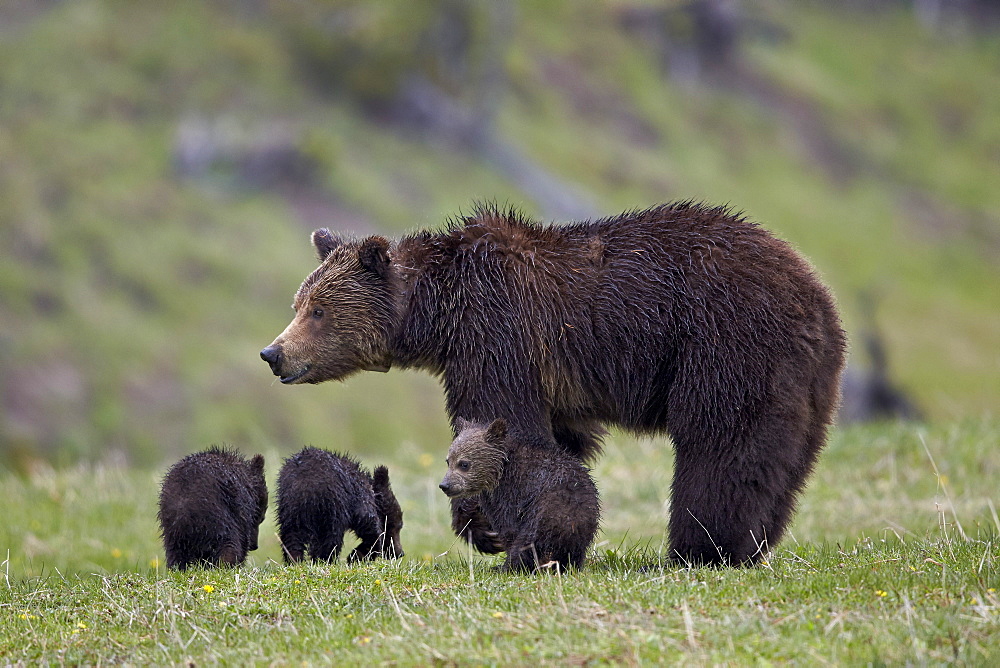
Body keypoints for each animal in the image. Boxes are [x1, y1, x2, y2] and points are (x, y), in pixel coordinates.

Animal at [260, 202, 844, 564]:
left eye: (317, 310)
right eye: (299, 303)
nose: (273, 353)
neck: (440, 314)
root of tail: (816, 294)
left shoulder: (499, 335)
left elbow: (503, 419)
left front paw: (485, 524)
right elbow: (562, 439)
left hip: (725, 344)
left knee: (723, 444)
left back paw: (701, 546)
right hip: (806, 380)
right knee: (781, 459)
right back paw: (752, 544)